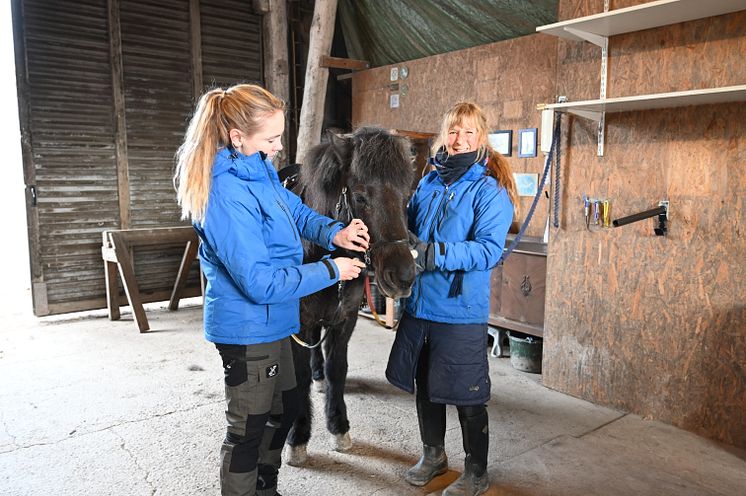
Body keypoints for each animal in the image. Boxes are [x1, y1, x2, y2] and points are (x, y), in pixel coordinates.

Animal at [284, 127, 416, 464]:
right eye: (359, 197)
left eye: (406, 196)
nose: (403, 276)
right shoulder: (298, 320)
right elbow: (299, 374)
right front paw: (298, 436)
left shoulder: (345, 317)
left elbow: (336, 370)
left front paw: (338, 426)